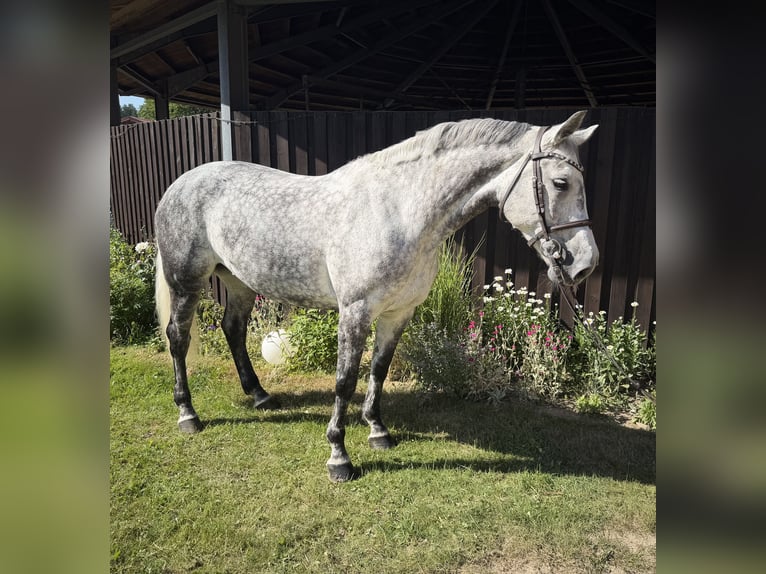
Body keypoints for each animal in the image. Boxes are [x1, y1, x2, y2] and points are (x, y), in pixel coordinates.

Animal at [154, 110, 599, 482]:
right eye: (561, 182)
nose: (585, 265)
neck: (400, 212)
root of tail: (180, 184)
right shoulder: (355, 312)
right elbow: (345, 380)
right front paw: (339, 457)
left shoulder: (398, 313)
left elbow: (378, 371)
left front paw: (378, 431)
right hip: (186, 283)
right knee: (178, 338)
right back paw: (188, 415)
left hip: (238, 282)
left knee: (233, 329)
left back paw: (261, 396)